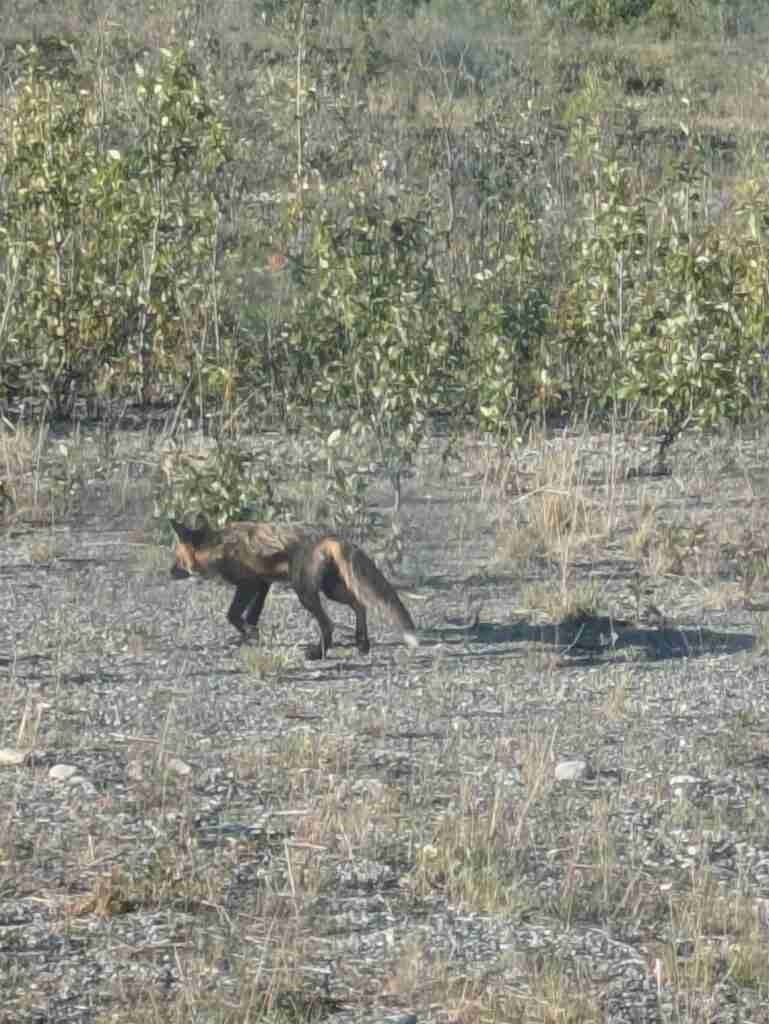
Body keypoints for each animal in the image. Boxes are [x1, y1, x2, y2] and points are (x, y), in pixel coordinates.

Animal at [170, 517, 418, 660]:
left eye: (177, 559)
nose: (168, 572)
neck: (217, 547)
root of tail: (329, 535)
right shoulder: (263, 583)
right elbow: (251, 616)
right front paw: (249, 637)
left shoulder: (249, 584)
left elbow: (232, 615)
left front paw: (249, 634)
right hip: (331, 589)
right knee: (360, 605)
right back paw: (362, 643)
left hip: (305, 593)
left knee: (328, 624)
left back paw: (319, 652)